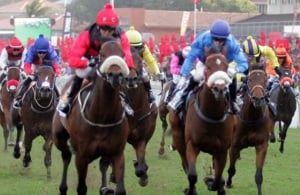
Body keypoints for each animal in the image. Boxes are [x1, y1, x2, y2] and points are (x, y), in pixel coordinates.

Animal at [51, 39, 130, 195]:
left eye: (122, 54)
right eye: (102, 54)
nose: (115, 75)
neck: (102, 117)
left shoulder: (117, 152)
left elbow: (120, 189)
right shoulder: (82, 156)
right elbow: (81, 188)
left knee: (103, 163)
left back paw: (104, 187)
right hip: (58, 137)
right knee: (66, 155)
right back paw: (63, 187)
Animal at [169, 49, 234, 195]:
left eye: (226, 66)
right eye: (208, 67)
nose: (219, 88)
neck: (212, 115)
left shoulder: (222, 149)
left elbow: (218, 177)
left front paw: (213, 183)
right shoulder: (192, 145)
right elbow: (192, 174)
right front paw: (192, 189)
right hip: (178, 137)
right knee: (185, 163)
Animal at [227, 64, 274, 195]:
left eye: (265, 80)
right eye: (250, 80)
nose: (258, 99)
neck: (251, 119)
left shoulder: (262, 145)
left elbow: (258, 175)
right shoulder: (234, 145)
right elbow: (231, 169)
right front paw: (228, 183)